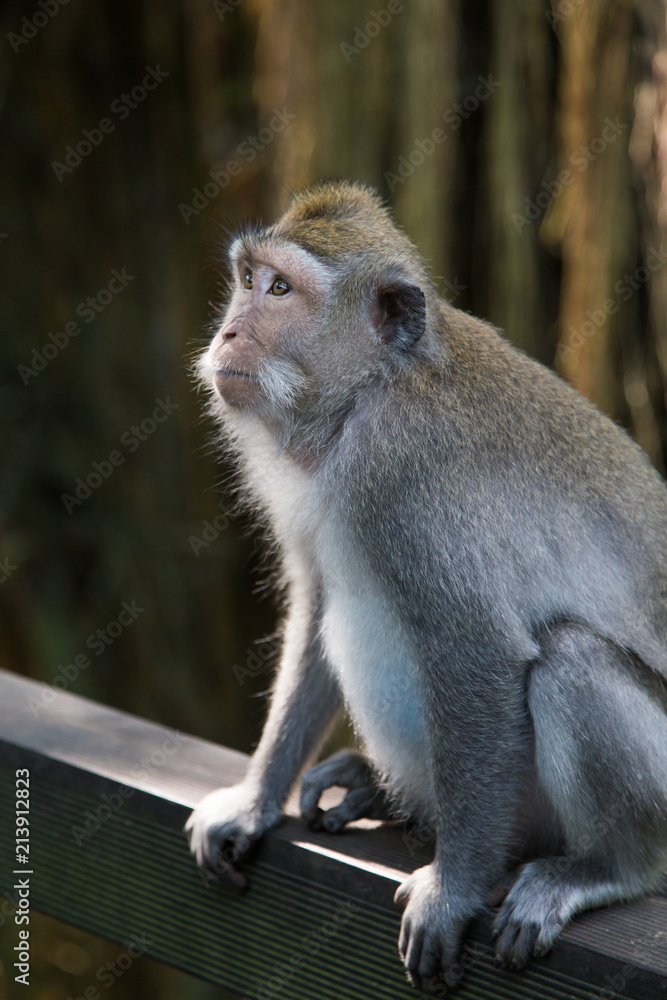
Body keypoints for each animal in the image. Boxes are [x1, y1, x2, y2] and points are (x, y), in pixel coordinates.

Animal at [185, 180, 667, 992]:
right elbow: (318, 604)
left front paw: (452, 892)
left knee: (571, 662)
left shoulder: (406, 477)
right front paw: (254, 800)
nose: (227, 334)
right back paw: (382, 791)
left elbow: (478, 652)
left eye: (280, 290)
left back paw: (605, 867)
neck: (368, 395)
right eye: (246, 279)